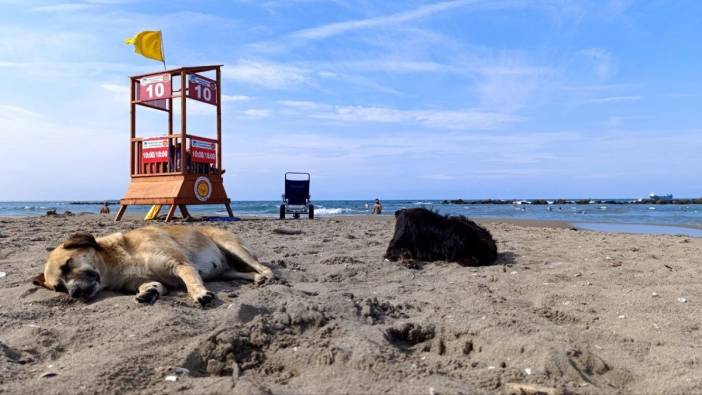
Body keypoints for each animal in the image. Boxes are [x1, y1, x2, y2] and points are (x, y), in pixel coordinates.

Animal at [34, 226, 274, 306]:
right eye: (59, 288)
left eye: (67, 265)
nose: (73, 293)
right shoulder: (147, 280)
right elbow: (153, 285)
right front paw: (149, 292)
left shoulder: (179, 263)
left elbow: (191, 282)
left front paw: (199, 294)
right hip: (225, 272)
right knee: (240, 272)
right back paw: (256, 278)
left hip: (232, 246)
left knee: (259, 265)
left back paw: (267, 275)